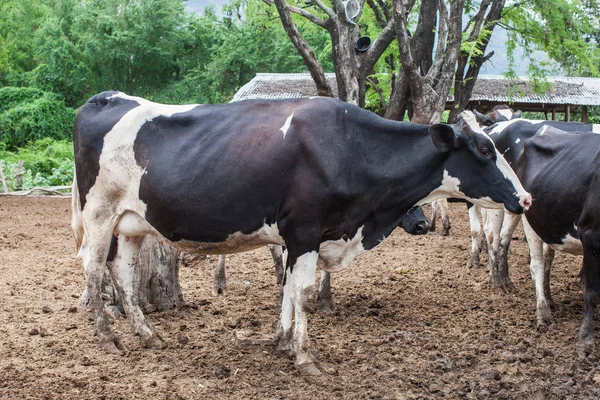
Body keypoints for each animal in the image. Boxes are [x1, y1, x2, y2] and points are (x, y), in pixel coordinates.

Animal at [74, 91, 528, 376]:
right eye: (485, 150)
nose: (524, 197)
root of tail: (107, 97)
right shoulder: (307, 231)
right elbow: (305, 293)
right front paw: (306, 359)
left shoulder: (298, 239)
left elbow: (289, 290)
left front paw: (282, 341)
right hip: (98, 214)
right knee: (94, 270)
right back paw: (108, 339)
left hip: (131, 223)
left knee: (123, 274)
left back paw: (148, 335)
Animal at [512, 128, 600, 354]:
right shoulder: (591, 236)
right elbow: (592, 292)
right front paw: (585, 340)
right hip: (528, 218)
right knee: (536, 264)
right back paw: (543, 312)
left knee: (547, 260)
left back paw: (550, 300)